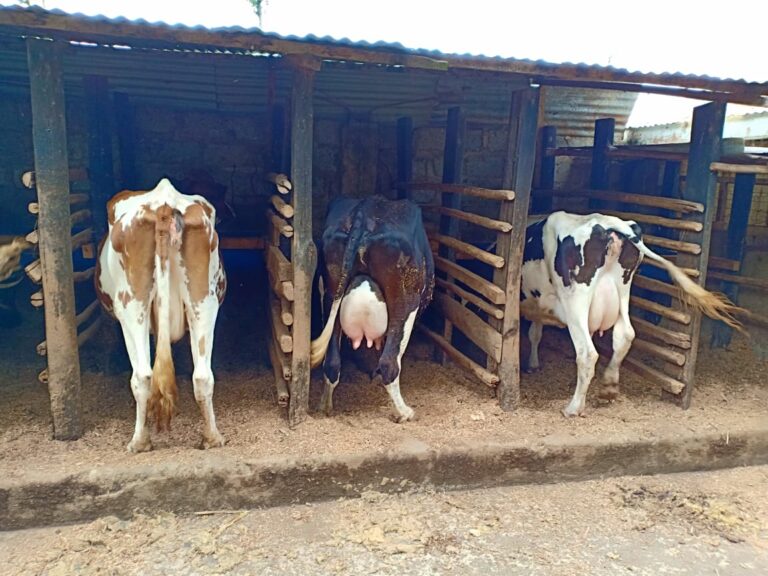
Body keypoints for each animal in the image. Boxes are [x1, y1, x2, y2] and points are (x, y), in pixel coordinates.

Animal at [95, 178, 227, 452]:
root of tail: (164, 204)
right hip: (204, 302)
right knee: (202, 375)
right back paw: (212, 438)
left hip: (132, 305)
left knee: (142, 376)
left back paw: (139, 441)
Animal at [310, 196, 434, 422]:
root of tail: (365, 210)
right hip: (405, 301)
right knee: (389, 363)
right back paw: (405, 412)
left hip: (330, 293)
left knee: (331, 362)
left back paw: (325, 406)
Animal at [521, 211, 742, 418]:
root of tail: (608, 222)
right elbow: (535, 333)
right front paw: (533, 363)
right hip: (622, 291)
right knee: (625, 335)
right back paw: (609, 386)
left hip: (576, 299)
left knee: (587, 352)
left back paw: (573, 407)